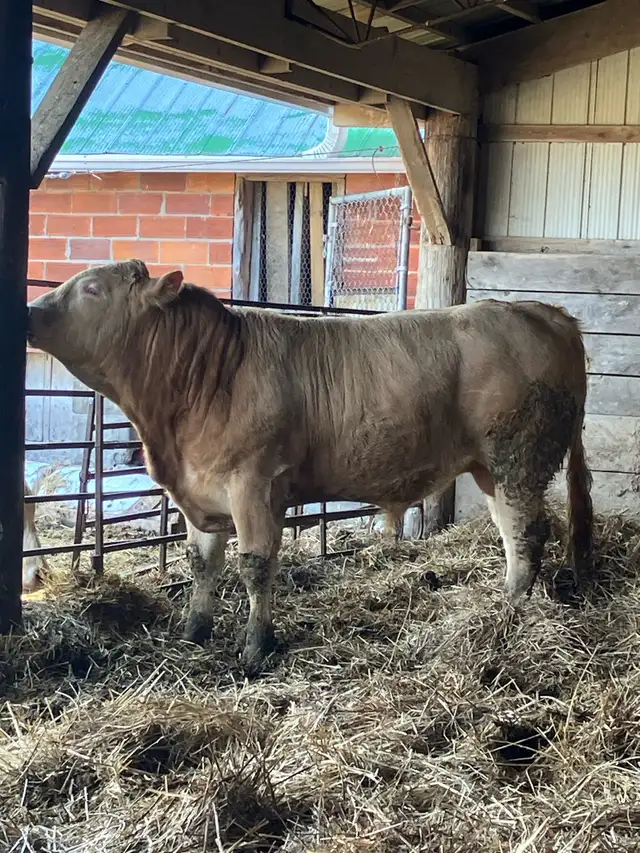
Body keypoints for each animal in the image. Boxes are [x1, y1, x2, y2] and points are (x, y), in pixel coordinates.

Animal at [27, 260, 593, 673]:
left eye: (93, 289)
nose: (30, 310)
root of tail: (541, 311)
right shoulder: (199, 493)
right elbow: (201, 563)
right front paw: (193, 632)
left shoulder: (254, 484)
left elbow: (255, 566)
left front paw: (256, 646)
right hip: (490, 468)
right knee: (510, 532)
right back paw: (503, 601)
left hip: (518, 457)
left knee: (528, 532)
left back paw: (511, 611)